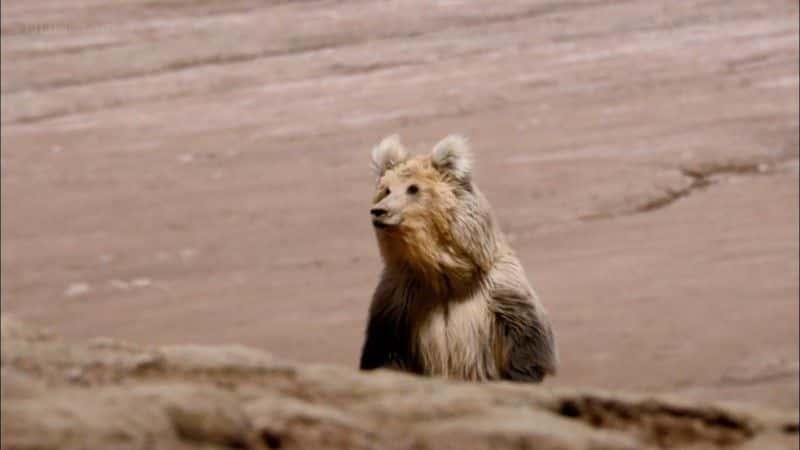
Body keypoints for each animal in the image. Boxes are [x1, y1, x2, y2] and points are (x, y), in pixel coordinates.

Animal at [360, 134, 556, 384]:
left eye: (413, 188)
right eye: (386, 189)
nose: (379, 211)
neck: (444, 276)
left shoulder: (499, 288)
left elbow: (526, 336)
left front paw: (522, 374)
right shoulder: (398, 298)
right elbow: (384, 349)